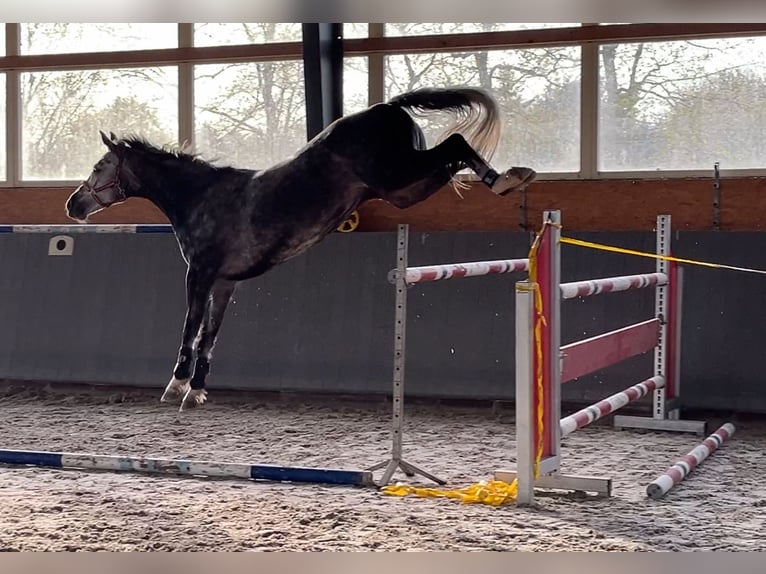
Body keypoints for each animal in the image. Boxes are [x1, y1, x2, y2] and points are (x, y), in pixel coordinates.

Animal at [66, 85, 536, 412]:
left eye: (99, 167)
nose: (73, 205)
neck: (201, 197)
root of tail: (385, 107)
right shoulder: (224, 283)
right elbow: (210, 336)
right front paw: (196, 392)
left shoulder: (199, 274)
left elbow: (190, 328)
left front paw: (176, 385)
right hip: (404, 189)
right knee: (452, 154)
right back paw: (509, 178)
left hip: (398, 175)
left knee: (455, 144)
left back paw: (506, 180)